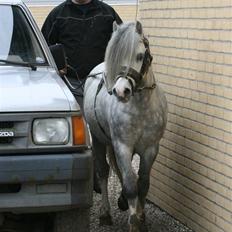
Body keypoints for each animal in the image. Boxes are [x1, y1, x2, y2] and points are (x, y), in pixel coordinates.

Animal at [84, 20, 168, 231]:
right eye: (114, 57)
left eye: (139, 55)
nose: (121, 91)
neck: (141, 108)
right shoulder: (122, 146)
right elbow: (131, 184)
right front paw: (134, 221)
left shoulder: (150, 148)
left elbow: (143, 183)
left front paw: (142, 216)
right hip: (98, 139)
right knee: (104, 171)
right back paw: (105, 213)